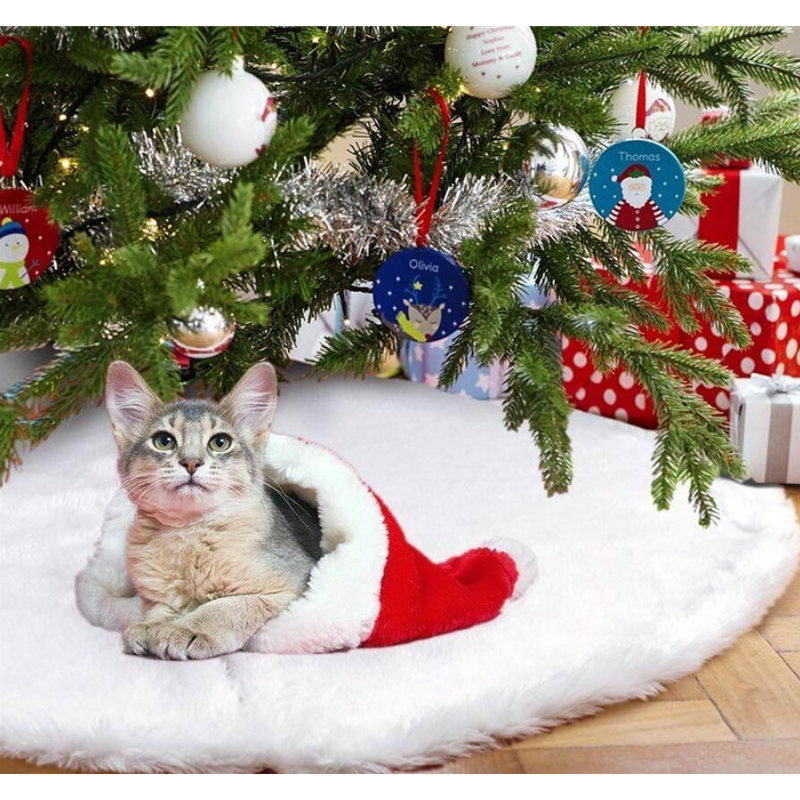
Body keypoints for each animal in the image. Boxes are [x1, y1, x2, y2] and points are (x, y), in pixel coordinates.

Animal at [105, 360, 322, 660]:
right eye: (163, 441)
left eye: (220, 442)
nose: (191, 462)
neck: (189, 534)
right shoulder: (160, 595)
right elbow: (161, 607)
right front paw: (150, 625)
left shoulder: (295, 585)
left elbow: (228, 606)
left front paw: (186, 628)